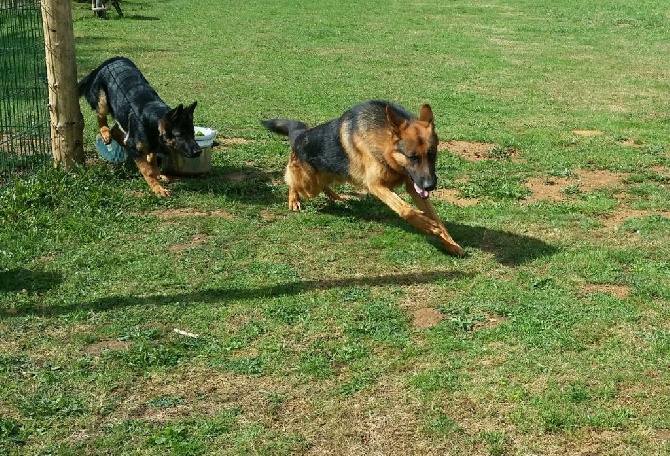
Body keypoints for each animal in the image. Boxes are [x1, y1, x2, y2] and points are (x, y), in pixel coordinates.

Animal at [79, 55, 200, 196]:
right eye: (180, 135)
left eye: (192, 133)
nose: (198, 151)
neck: (153, 122)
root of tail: (108, 61)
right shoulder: (134, 147)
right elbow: (147, 169)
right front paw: (157, 188)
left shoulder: (151, 145)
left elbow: (152, 161)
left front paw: (158, 175)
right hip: (103, 102)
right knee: (101, 117)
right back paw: (105, 132)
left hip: (122, 114)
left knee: (117, 132)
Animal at [262, 100, 468, 256]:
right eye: (412, 157)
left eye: (431, 154)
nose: (430, 186)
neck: (385, 146)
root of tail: (300, 136)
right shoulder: (376, 185)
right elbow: (406, 210)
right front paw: (427, 224)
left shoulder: (414, 187)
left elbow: (437, 219)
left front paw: (450, 243)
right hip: (308, 185)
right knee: (291, 178)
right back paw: (294, 199)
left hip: (328, 177)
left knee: (324, 185)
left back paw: (338, 198)